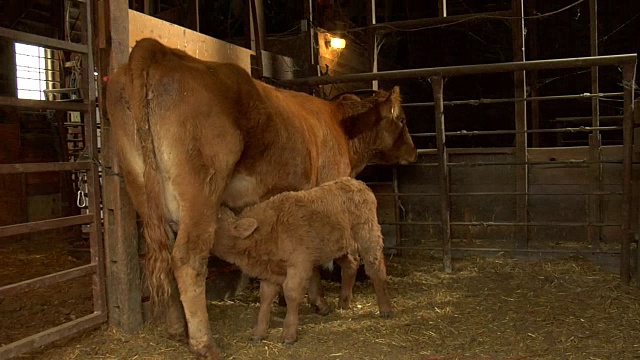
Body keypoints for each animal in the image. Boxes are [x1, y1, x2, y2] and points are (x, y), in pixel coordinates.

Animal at [212, 177, 392, 344]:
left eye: (213, 227)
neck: (269, 229)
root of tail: (355, 182)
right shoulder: (270, 271)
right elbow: (266, 297)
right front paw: (258, 332)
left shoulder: (298, 265)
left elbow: (291, 293)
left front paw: (289, 333)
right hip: (339, 245)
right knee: (351, 264)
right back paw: (344, 302)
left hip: (368, 235)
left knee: (375, 268)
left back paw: (385, 308)